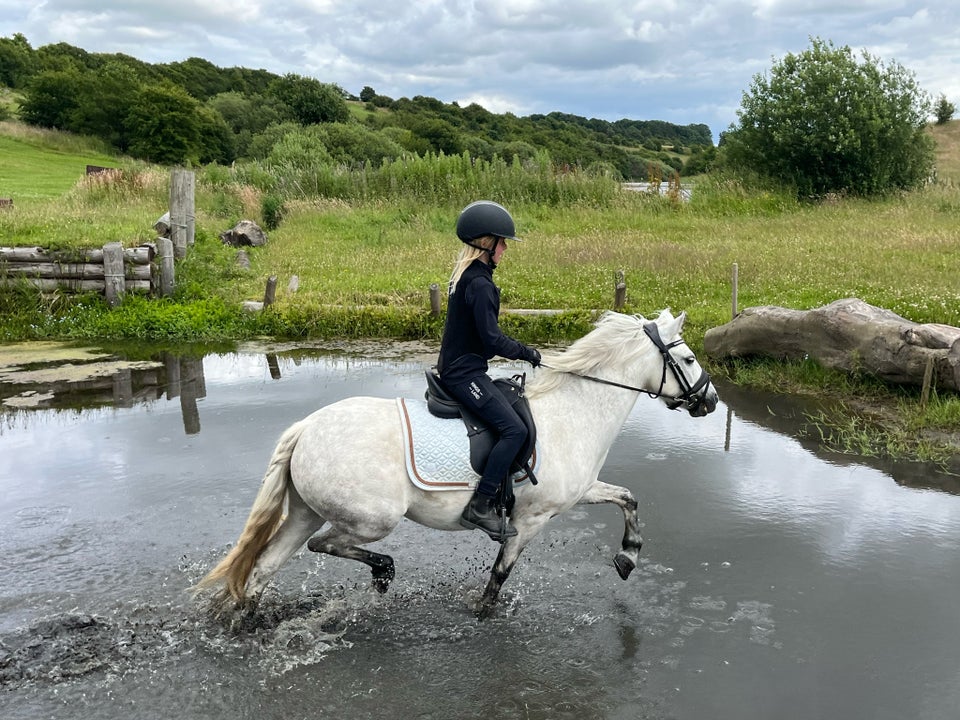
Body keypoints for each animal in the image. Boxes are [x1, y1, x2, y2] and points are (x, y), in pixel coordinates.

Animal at [197, 312, 720, 616]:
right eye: (691, 359)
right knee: (325, 546)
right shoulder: (531, 519)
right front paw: (483, 615)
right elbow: (499, 578)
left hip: (307, 511)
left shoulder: (580, 491)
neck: (575, 410)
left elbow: (628, 497)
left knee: (264, 569)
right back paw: (382, 571)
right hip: (370, 519)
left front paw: (628, 557)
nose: (710, 401)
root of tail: (305, 427)